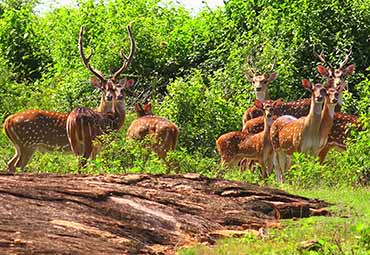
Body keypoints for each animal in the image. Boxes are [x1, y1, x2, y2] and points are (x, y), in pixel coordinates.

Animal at [67, 24, 136, 169]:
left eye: (114, 88)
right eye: (103, 89)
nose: (111, 97)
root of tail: (75, 118)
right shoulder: (106, 140)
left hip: (72, 141)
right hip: (89, 140)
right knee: (82, 163)